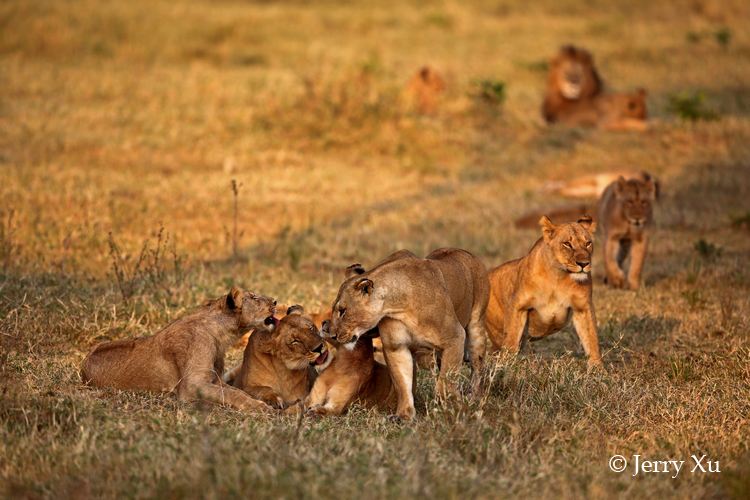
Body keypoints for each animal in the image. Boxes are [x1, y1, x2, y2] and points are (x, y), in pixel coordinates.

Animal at [80, 288, 280, 412]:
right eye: (254, 297)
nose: (276, 301)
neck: (221, 334)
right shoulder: (191, 385)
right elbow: (231, 394)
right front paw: (260, 407)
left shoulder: (215, 379)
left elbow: (237, 391)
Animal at [326, 248, 490, 420]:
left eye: (342, 311)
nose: (332, 335)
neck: (398, 305)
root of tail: (466, 252)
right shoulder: (396, 347)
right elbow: (403, 382)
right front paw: (404, 415)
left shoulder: (455, 337)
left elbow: (446, 380)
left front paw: (450, 408)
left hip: (476, 327)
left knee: (478, 367)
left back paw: (474, 398)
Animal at [488, 217, 604, 370]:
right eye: (567, 244)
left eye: (588, 243)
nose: (584, 264)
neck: (558, 277)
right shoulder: (519, 306)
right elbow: (511, 340)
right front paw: (506, 365)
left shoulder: (583, 308)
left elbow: (592, 338)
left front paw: (597, 368)